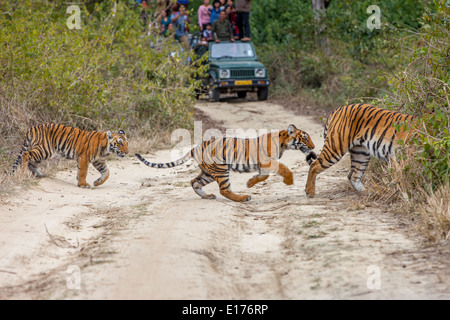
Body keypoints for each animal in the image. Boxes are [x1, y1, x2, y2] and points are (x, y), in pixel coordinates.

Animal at [135, 124, 314, 201]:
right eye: (305, 138)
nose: (313, 146)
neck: (284, 143)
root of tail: (195, 147)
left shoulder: (263, 165)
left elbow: (263, 176)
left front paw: (250, 182)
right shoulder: (267, 161)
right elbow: (283, 169)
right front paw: (289, 180)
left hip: (208, 172)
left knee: (194, 182)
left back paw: (207, 196)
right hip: (220, 169)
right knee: (224, 190)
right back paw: (243, 197)